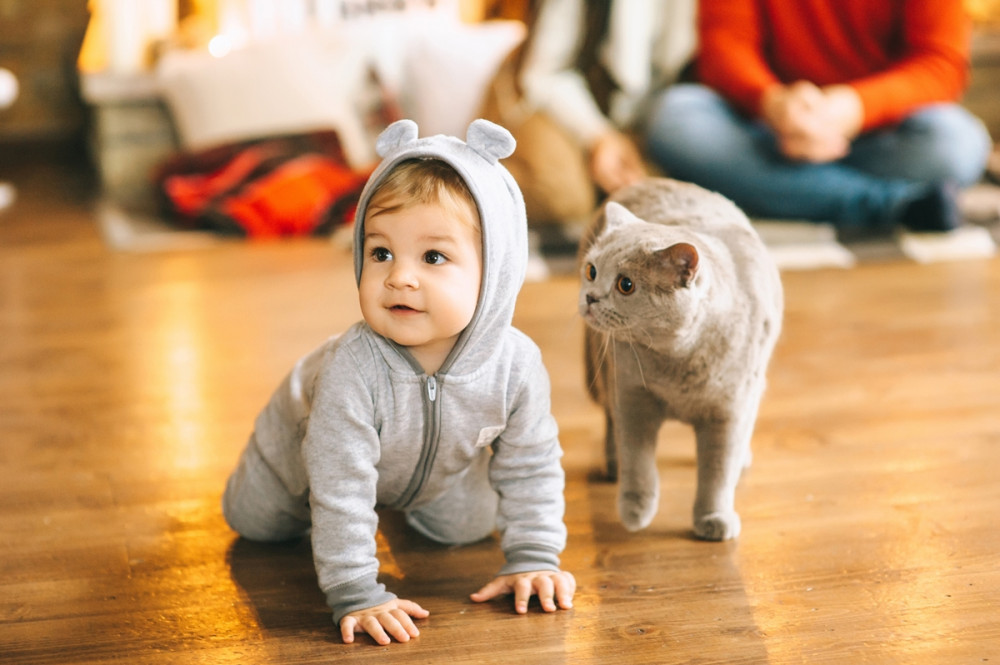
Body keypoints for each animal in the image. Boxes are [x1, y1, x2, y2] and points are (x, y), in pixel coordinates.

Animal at [580, 176, 780, 540]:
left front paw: (714, 519)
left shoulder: (730, 411)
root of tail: (643, 180)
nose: (590, 297)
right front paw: (635, 513)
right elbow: (638, 462)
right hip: (599, 371)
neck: (676, 362)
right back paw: (612, 465)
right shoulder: (632, 395)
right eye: (591, 271)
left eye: (625, 284)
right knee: (610, 421)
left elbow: (717, 473)